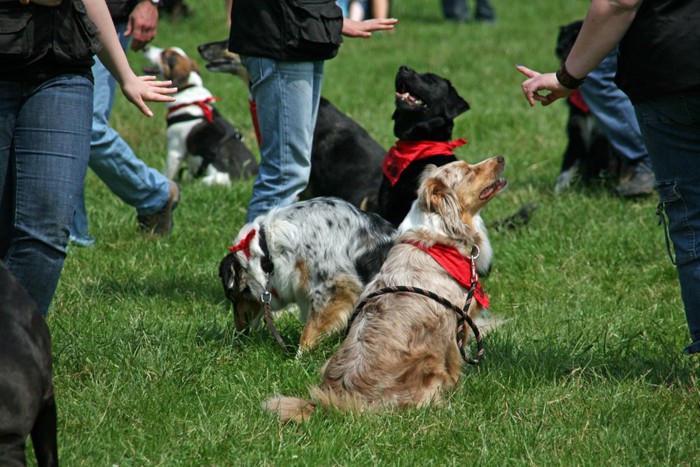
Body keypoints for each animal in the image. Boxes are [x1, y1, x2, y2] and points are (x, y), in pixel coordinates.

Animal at [552, 20, 616, 194]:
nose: (558, 48)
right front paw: (558, 193)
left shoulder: (603, 140)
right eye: (563, 35)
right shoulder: (576, 133)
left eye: (577, 35)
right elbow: (566, 168)